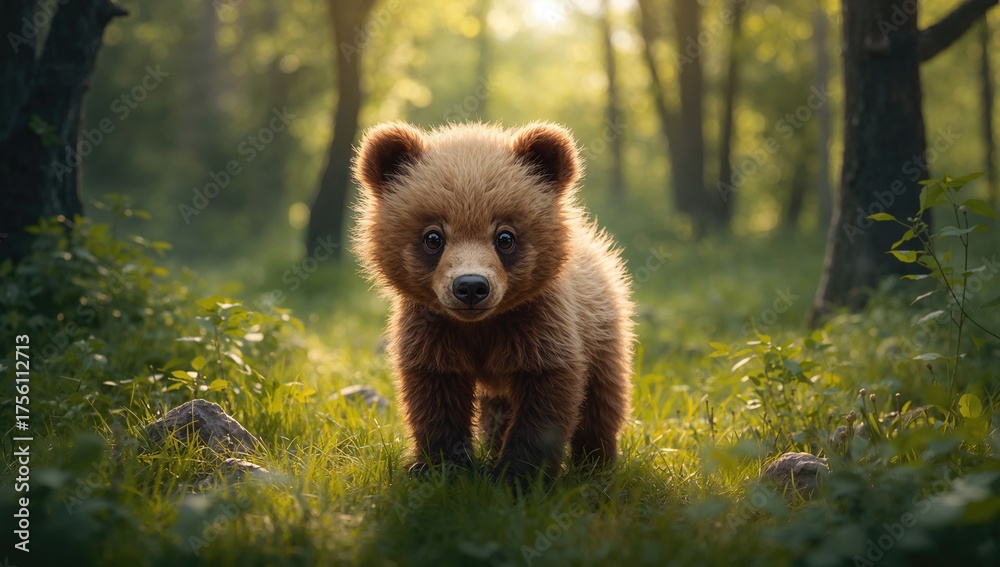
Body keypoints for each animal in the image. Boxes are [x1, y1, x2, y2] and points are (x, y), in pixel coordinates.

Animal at [352, 121, 634, 483]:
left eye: (505, 237)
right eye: (433, 237)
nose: (471, 286)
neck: (481, 328)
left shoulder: (539, 327)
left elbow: (545, 401)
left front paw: (519, 475)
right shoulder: (433, 333)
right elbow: (435, 397)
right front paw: (440, 468)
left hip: (601, 331)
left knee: (603, 398)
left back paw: (597, 463)